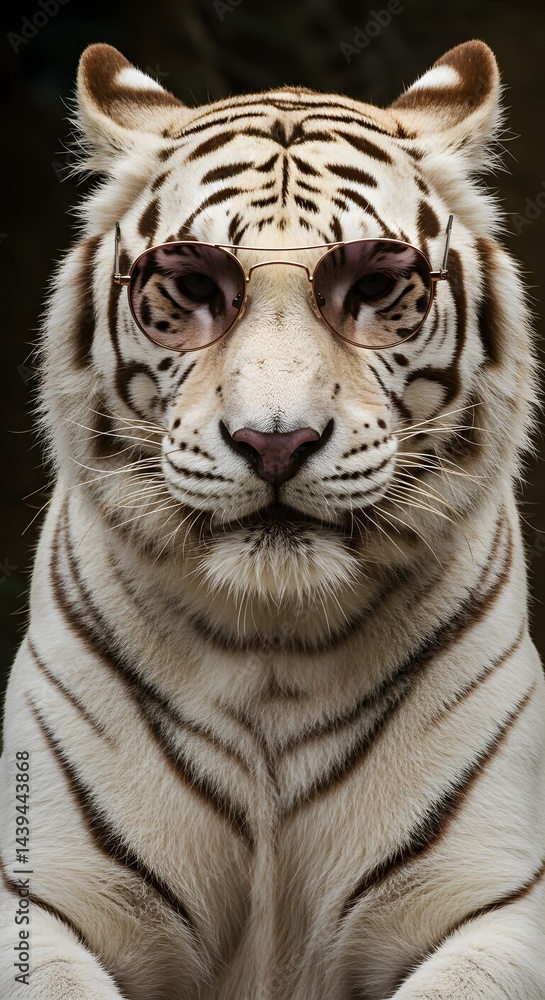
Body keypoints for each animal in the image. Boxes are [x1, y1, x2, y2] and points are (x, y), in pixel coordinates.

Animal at [0, 36, 544, 1000]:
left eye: (373, 287)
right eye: (191, 286)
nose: (275, 441)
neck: (272, 651)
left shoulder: (492, 903)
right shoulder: (46, 895)